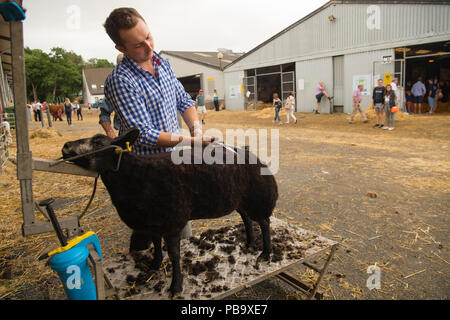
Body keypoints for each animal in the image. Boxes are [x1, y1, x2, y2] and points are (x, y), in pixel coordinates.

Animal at [59, 127, 278, 296]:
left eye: (98, 143)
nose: (66, 146)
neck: (135, 175)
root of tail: (252, 155)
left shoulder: (172, 222)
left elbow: (174, 255)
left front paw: (176, 287)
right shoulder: (153, 223)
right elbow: (156, 245)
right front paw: (155, 265)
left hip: (259, 199)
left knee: (264, 223)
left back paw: (265, 253)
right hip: (240, 200)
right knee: (247, 219)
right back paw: (249, 243)